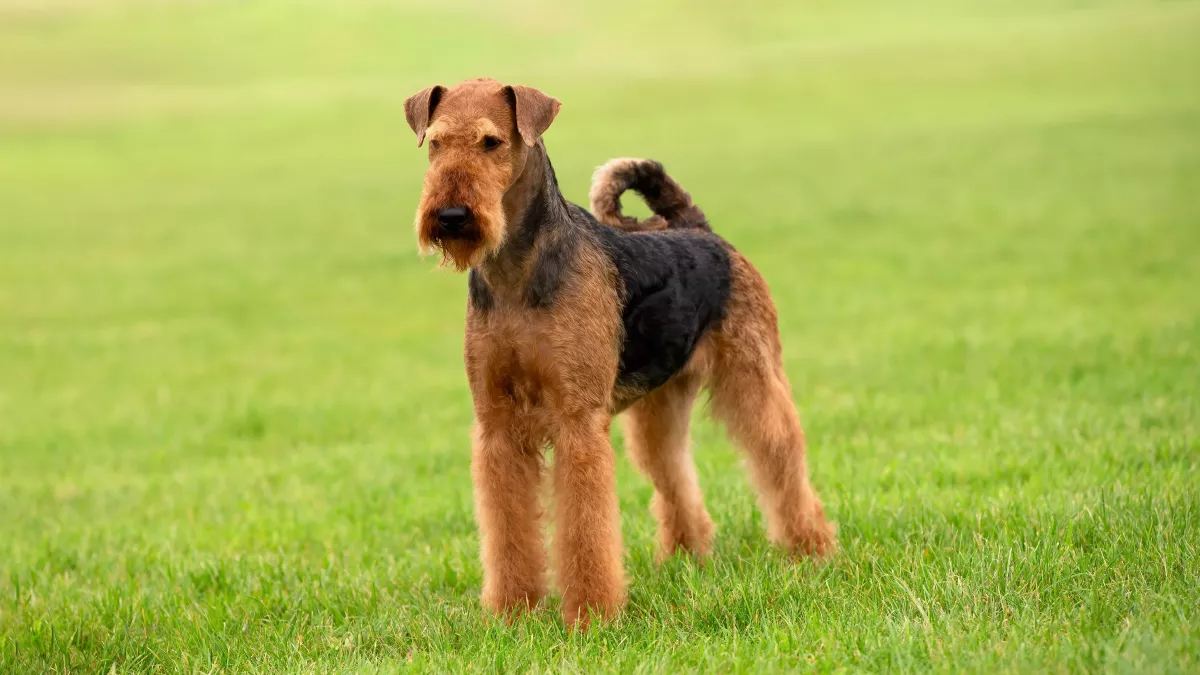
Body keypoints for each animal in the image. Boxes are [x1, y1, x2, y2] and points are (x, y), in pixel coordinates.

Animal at [403, 78, 835, 624]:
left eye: (491, 142)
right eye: (436, 143)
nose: (451, 216)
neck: (516, 275)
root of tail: (700, 229)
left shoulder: (578, 423)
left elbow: (586, 529)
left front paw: (591, 616)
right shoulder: (496, 424)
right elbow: (508, 528)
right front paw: (513, 611)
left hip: (753, 377)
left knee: (780, 459)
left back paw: (811, 548)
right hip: (660, 406)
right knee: (674, 472)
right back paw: (685, 554)